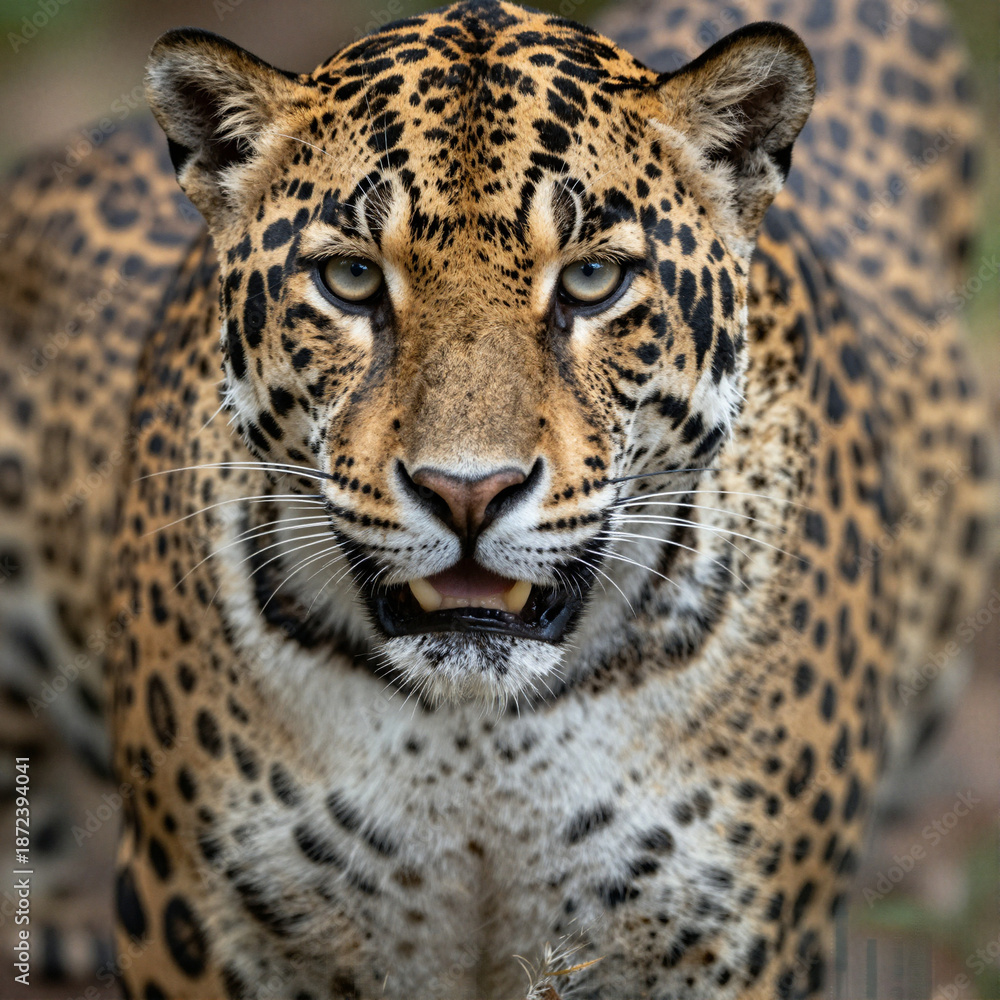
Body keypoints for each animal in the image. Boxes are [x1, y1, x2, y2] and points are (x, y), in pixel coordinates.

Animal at [0, 0, 995, 997]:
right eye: (351, 280)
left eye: (593, 279)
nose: (467, 492)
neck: (479, 740)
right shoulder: (198, 920)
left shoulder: (738, 942)